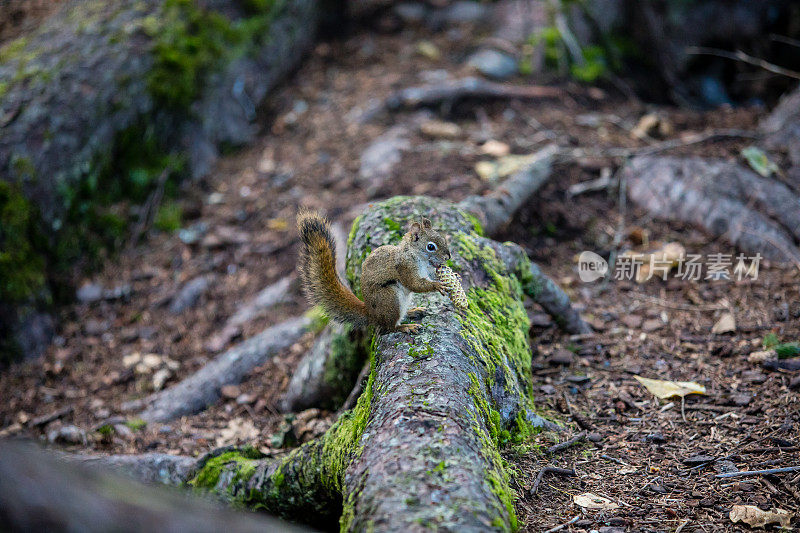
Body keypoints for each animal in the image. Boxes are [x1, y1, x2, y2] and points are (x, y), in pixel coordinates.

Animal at [298, 209, 454, 330]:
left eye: (443, 239)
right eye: (431, 246)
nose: (448, 256)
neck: (416, 256)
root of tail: (372, 315)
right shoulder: (405, 268)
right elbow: (414, 284)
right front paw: (437, 285)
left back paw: (413, 311)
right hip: (390, 298)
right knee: (390, 327)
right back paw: (405, 327)